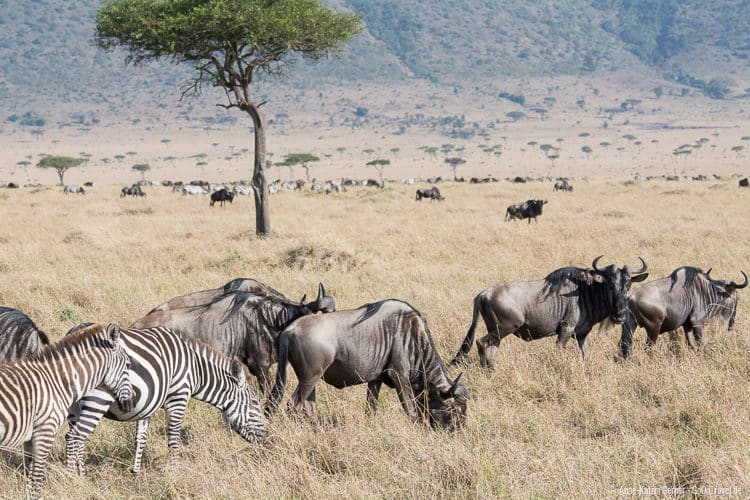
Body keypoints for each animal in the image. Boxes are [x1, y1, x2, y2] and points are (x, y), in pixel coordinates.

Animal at [0, 322, 131, 498]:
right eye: (128, 365)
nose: (129, 401)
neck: (56, 382)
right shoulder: (46, 431)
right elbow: (37, 477)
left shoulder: (31, 437)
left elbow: (29, 474)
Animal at [65, 326, 268, 474]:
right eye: (255, 403)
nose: (267, 437)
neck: (196, 369)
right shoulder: (178, 398)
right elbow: (174, 438)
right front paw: (176, 472)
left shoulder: (148, 404)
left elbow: (141, 438)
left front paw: (135, 472)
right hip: (98, 399)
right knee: (74, 436)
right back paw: (74, 479)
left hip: (73, 406)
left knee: (76, 437)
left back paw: (81, 474)